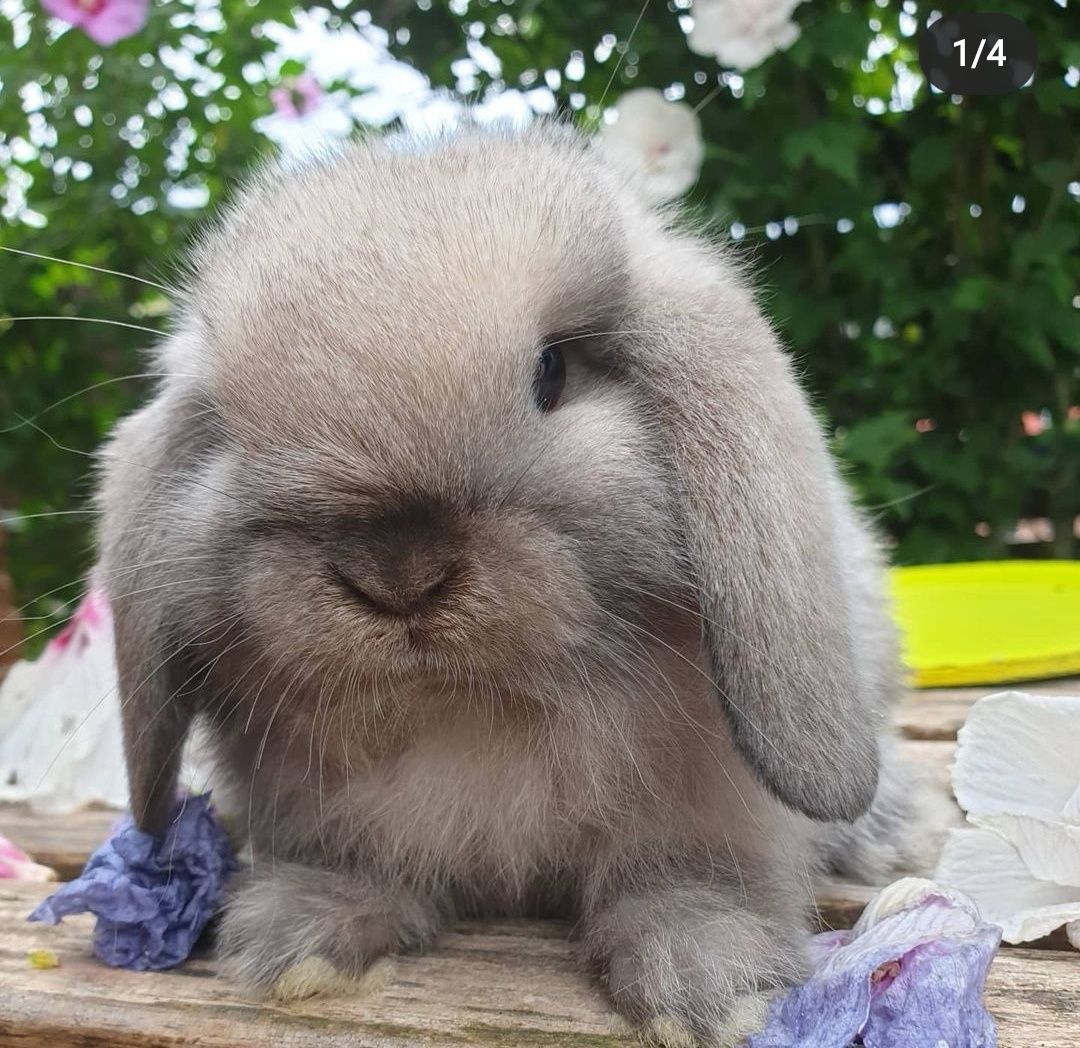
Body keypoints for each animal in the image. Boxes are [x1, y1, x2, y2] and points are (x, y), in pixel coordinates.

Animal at [97, 126, 928, 1041]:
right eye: (227, 428)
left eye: (552, 372)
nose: (399, 579)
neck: (470, 706)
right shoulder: (320, 804)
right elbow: (352, 863)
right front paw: (301, 944)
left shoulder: (709, 806)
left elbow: (689, 876)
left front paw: (714, 985)